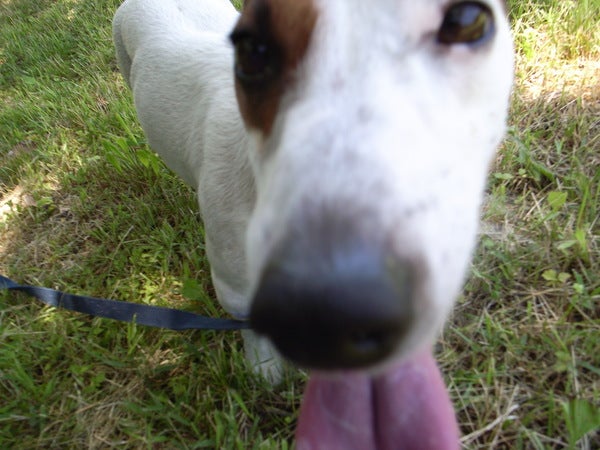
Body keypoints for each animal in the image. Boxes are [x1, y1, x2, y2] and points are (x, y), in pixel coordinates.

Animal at [113, 0, 513, 448]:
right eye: (252, 50)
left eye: (468, 21)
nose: (329, 314)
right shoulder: (233, 282)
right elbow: (249, 323)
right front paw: (264, 367)